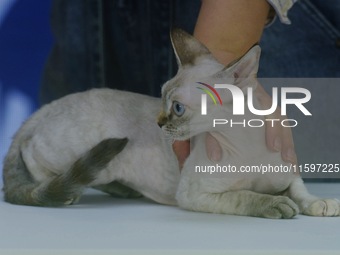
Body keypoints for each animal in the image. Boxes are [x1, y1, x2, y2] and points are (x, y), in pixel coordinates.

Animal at [3, 27, 340, 218]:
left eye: (176, 108)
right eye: (162, 97)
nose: (157, 122)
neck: (246, 146)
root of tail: (44, 108)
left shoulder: (288, 174)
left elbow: (302, 192)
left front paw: (321, 204)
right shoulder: (196, 194)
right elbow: (245, 196)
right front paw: (274, 204)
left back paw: (126, 190)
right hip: (80, 150)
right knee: (34, 165)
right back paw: (64, 191)